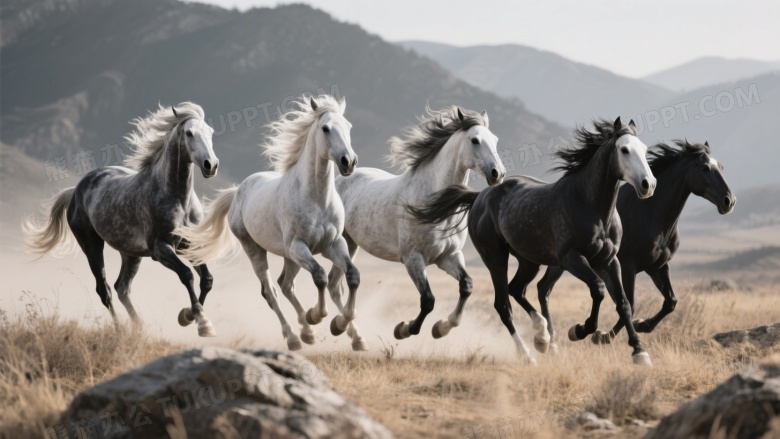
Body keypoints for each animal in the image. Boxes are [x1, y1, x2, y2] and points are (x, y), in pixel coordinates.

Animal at [23, 102, 220, 336]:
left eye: (210, 132)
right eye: (189, 133)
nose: (211, 165)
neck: (177, 198)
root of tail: (76, 190)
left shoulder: (189, 245)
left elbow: (207, 280)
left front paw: (189, 317)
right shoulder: (161, 248)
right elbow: (187, 274)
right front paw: (201, 322)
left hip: (130, 253)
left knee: (122, 288)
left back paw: (139, 327)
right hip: (92, 246)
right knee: (105, 289)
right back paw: (119, 331)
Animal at [177, 95, 359, 351]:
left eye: (349, 126)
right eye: (325, 128)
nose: (348, 161)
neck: (316, 198)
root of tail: (238, 191)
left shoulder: (332, 244)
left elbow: (352, 275)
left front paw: (341, 325)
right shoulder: (299, 246)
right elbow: (320, 276)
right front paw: (317, 315)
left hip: (289, 256)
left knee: (286, 284)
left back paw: (307, 333)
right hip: (258, 250)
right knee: (271, 291)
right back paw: (294, 337)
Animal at [327, 106, 505, 347]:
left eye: (495, 139)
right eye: (475, 140)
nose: (498, 173)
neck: (431, 204)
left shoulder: (448, 256)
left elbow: (466, 286)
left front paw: (441, 328)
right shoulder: (413, 259)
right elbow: (428, 300)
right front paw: (404, 329)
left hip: (351, 244)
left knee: (335, 284)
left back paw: (346, 330)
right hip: (341, 241)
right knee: (334, 284)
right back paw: (341, 327)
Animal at [409, 117, 657, 365]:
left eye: (644, 149)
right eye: (624, 150)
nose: (648, 184)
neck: (591, 206)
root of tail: (479, 196)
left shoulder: (608, 260)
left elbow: (623, 303)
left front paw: (639, 351)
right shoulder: (572, 258)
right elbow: (598, 289)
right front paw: (579, 330)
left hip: (529, 261)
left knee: (517, 289)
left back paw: (542, 338)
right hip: (496, 258)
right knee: (503, 304)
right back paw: (526, 353)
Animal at [536, 139, 736, 346]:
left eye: (721, 167)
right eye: (705, 168)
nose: (729, 201)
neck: (649, 213)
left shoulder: (657, 266)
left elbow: (670, 301)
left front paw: (642, 325)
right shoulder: (627, 266)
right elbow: (629, 304)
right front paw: (603, 336)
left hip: (560, 262)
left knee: (543, 288)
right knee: (543, 288)